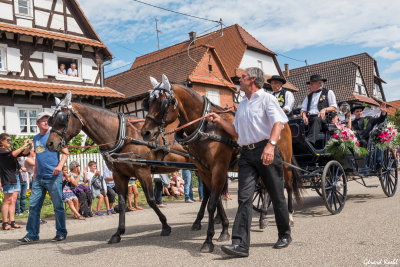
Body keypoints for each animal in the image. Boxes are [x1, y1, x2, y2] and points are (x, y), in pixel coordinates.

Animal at [46, 91, 225, 245]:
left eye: (62, 118)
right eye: (50, 120)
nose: (50, 144)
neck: (122, 135)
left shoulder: (142, 171)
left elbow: (151, 200)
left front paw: (165, 226)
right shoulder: (118, 175)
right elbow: (122, 202)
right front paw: (118, 233)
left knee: (212, 191)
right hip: (200, 168)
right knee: (209, 192)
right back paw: (202, 221)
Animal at [142, 75, 239, 253]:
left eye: (162, 103)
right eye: (148, 102)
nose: (145, 132)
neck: (206, 127)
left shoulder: (219, 168)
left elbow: (212, 203)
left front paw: (208, 240)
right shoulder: (204, 170)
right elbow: (215, 200)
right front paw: (224, 231)